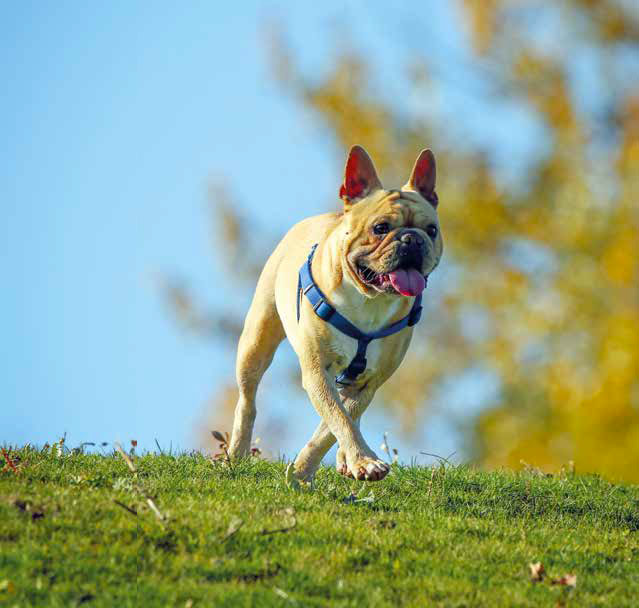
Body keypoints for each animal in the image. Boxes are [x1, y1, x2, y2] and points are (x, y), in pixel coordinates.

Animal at [230, 145, 444, 482]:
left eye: (432, 230)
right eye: (380, 228)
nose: (412, 239)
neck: (370, 300)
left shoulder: (369, 381)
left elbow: (334, 425)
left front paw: (309, 467)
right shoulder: (318, 371)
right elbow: (337, 417)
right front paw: (358, 461)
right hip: (256, 342)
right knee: (248, 400)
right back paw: (236, 452)